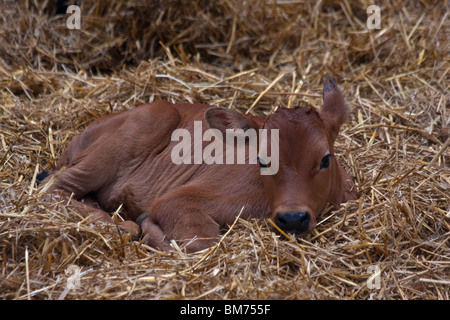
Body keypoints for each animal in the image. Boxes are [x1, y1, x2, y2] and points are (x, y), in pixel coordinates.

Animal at [43, 77, 358, 252]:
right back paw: (122, 225)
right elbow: (204, 242)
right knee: (52, 188)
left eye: (325, 159)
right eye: (262, 160)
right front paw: (147, 226)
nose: (292, 218)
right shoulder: (176, 200)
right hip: (151, 119)